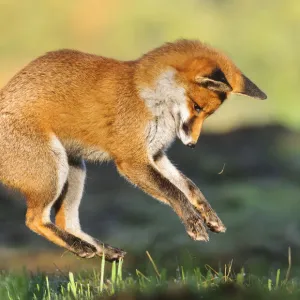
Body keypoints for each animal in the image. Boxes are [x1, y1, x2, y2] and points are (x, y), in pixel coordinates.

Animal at [0, 39, 268, 260]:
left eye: (207, 114)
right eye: (197, 107)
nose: (192, 144)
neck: (149, 98)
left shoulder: (155, 155)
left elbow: (189, 186)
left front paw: (209, 215)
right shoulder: (131, 159)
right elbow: (173, 191)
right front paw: (194, 223)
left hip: (74, 169)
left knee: (65, 222)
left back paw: (100, 249)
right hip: (55, 169)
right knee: (34, 220)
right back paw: (80, 247)